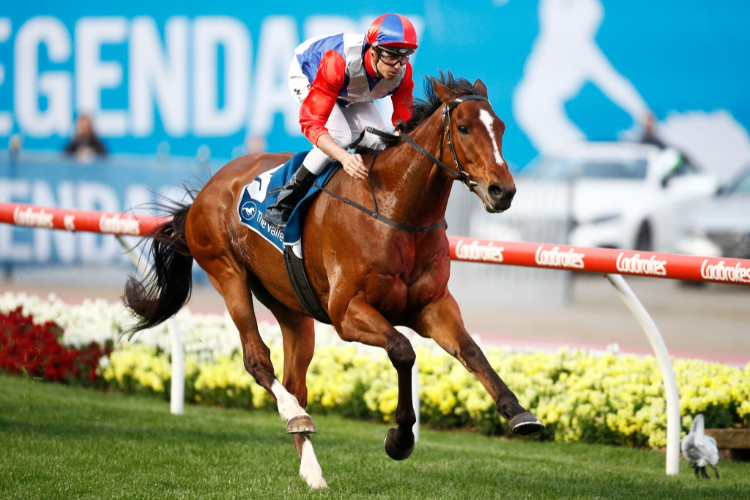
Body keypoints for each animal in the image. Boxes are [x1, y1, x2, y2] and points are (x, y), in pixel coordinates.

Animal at [125, 71, 548, 488]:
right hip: (225, 270)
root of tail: (207, 189)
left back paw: (311, 470)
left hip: (291, 305)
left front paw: (519, 412)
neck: (395, 210)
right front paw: (400, 438)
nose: (503, 191)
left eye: (501, 128)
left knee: (296, 381)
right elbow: (403, 350)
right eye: (463, 127)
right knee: (258, 361)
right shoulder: (347, 312)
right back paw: (294, 415)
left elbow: (472, 351)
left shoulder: (432, 306)